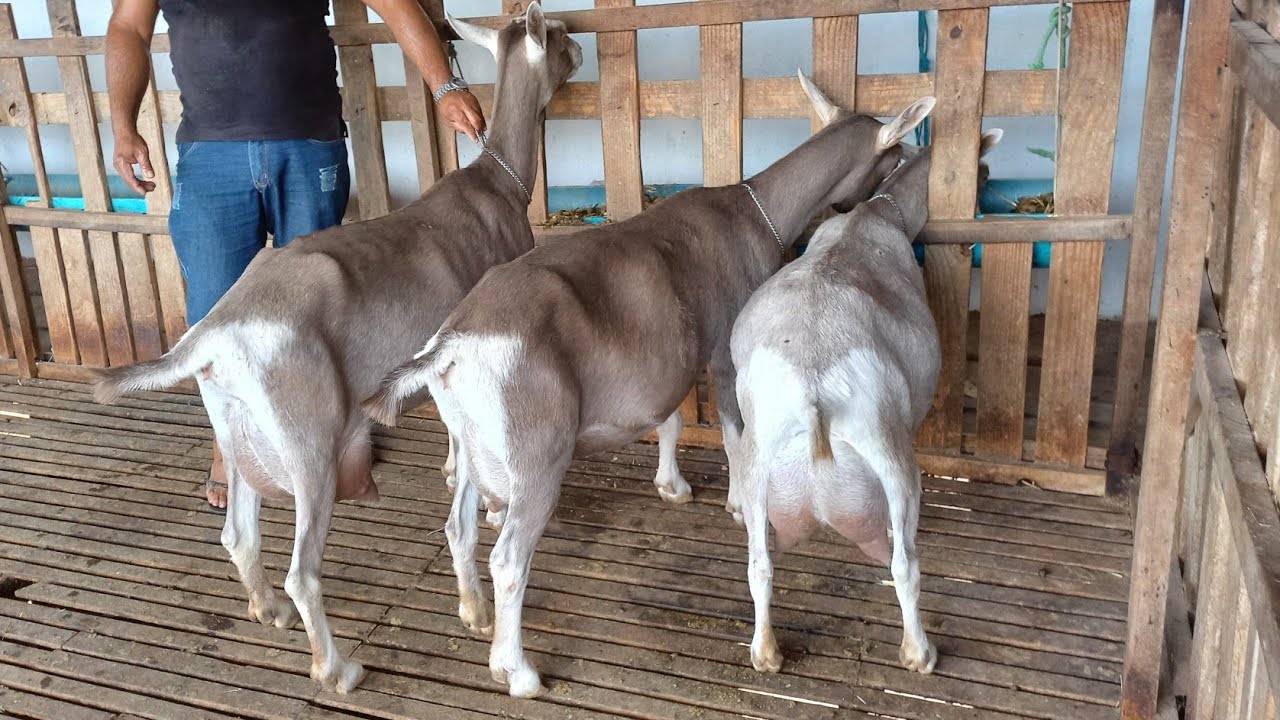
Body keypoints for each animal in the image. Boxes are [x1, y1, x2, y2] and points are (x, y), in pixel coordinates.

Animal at [362, 72, 935, 698]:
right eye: (894, 153)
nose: (893, 195)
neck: (750, 208)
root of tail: (453, 345)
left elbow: (672, 418)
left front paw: (672, 486)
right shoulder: (722, 352)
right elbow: (732, 434)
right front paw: (737, 504)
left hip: (470, 443)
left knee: (458, 527)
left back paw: (474, 613)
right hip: (535, 454)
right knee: (509, 559)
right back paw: (518, 670)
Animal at [728, 129, 1003, 675]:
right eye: (983, 169)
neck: (876, 213)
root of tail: (813, 392)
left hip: (757, 461)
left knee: (759, 564)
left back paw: (766, 653)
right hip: (890, 455)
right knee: (905, 564)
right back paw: (919, 653)